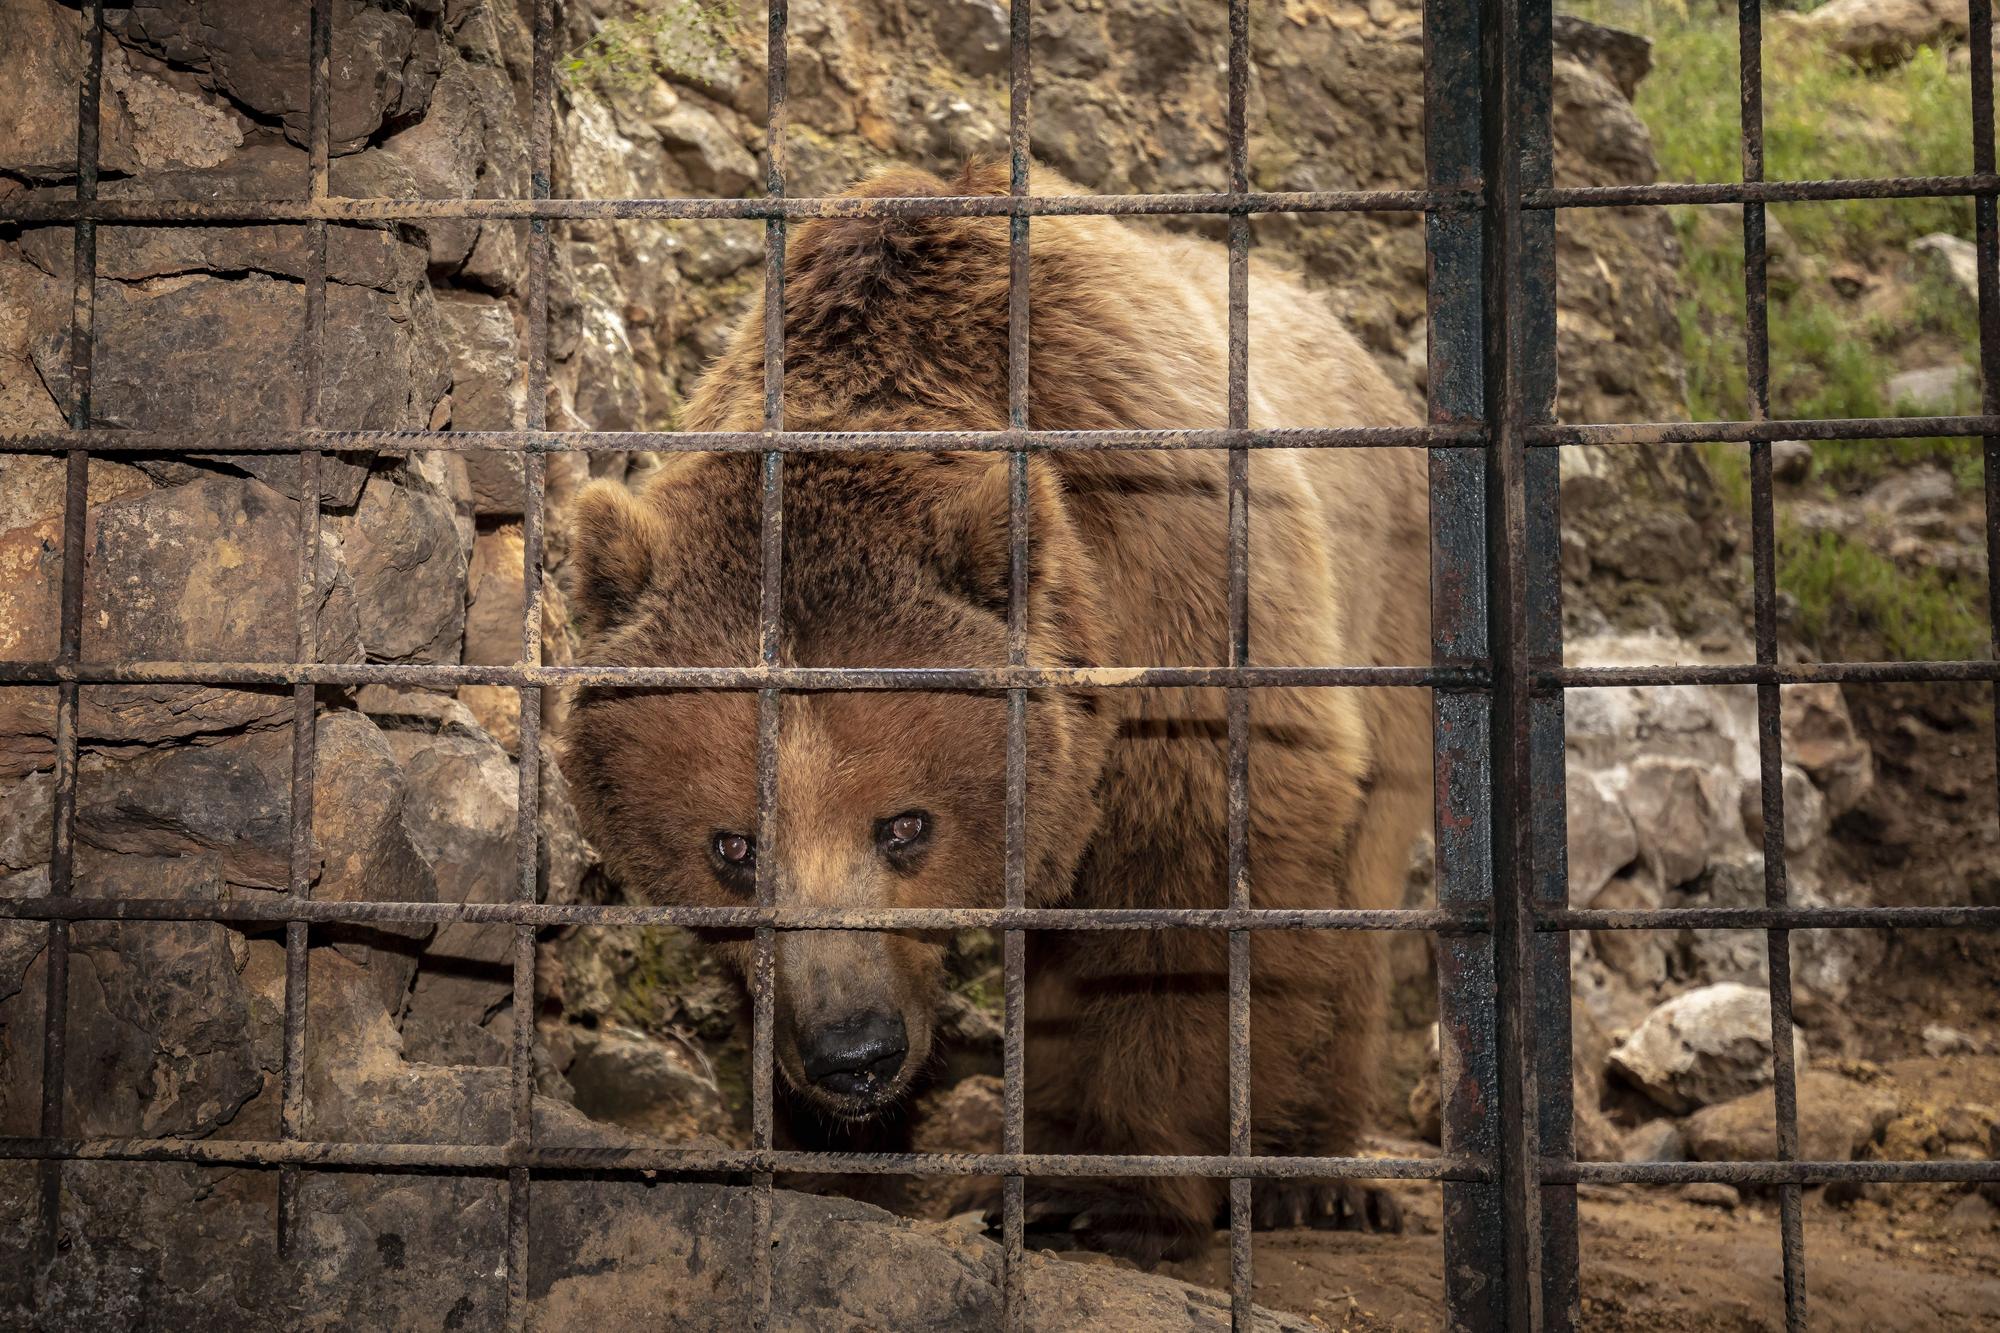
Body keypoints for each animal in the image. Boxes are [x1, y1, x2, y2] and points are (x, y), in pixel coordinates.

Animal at [560, 161, 1440, 1248]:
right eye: (732, 846)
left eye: (905, 824)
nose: (853, 1052)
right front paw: (832, 1152)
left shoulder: (1171, 565)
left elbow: (1186, 879)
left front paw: (1106, 1187)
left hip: (1389, 607)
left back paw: (1316, 1176)